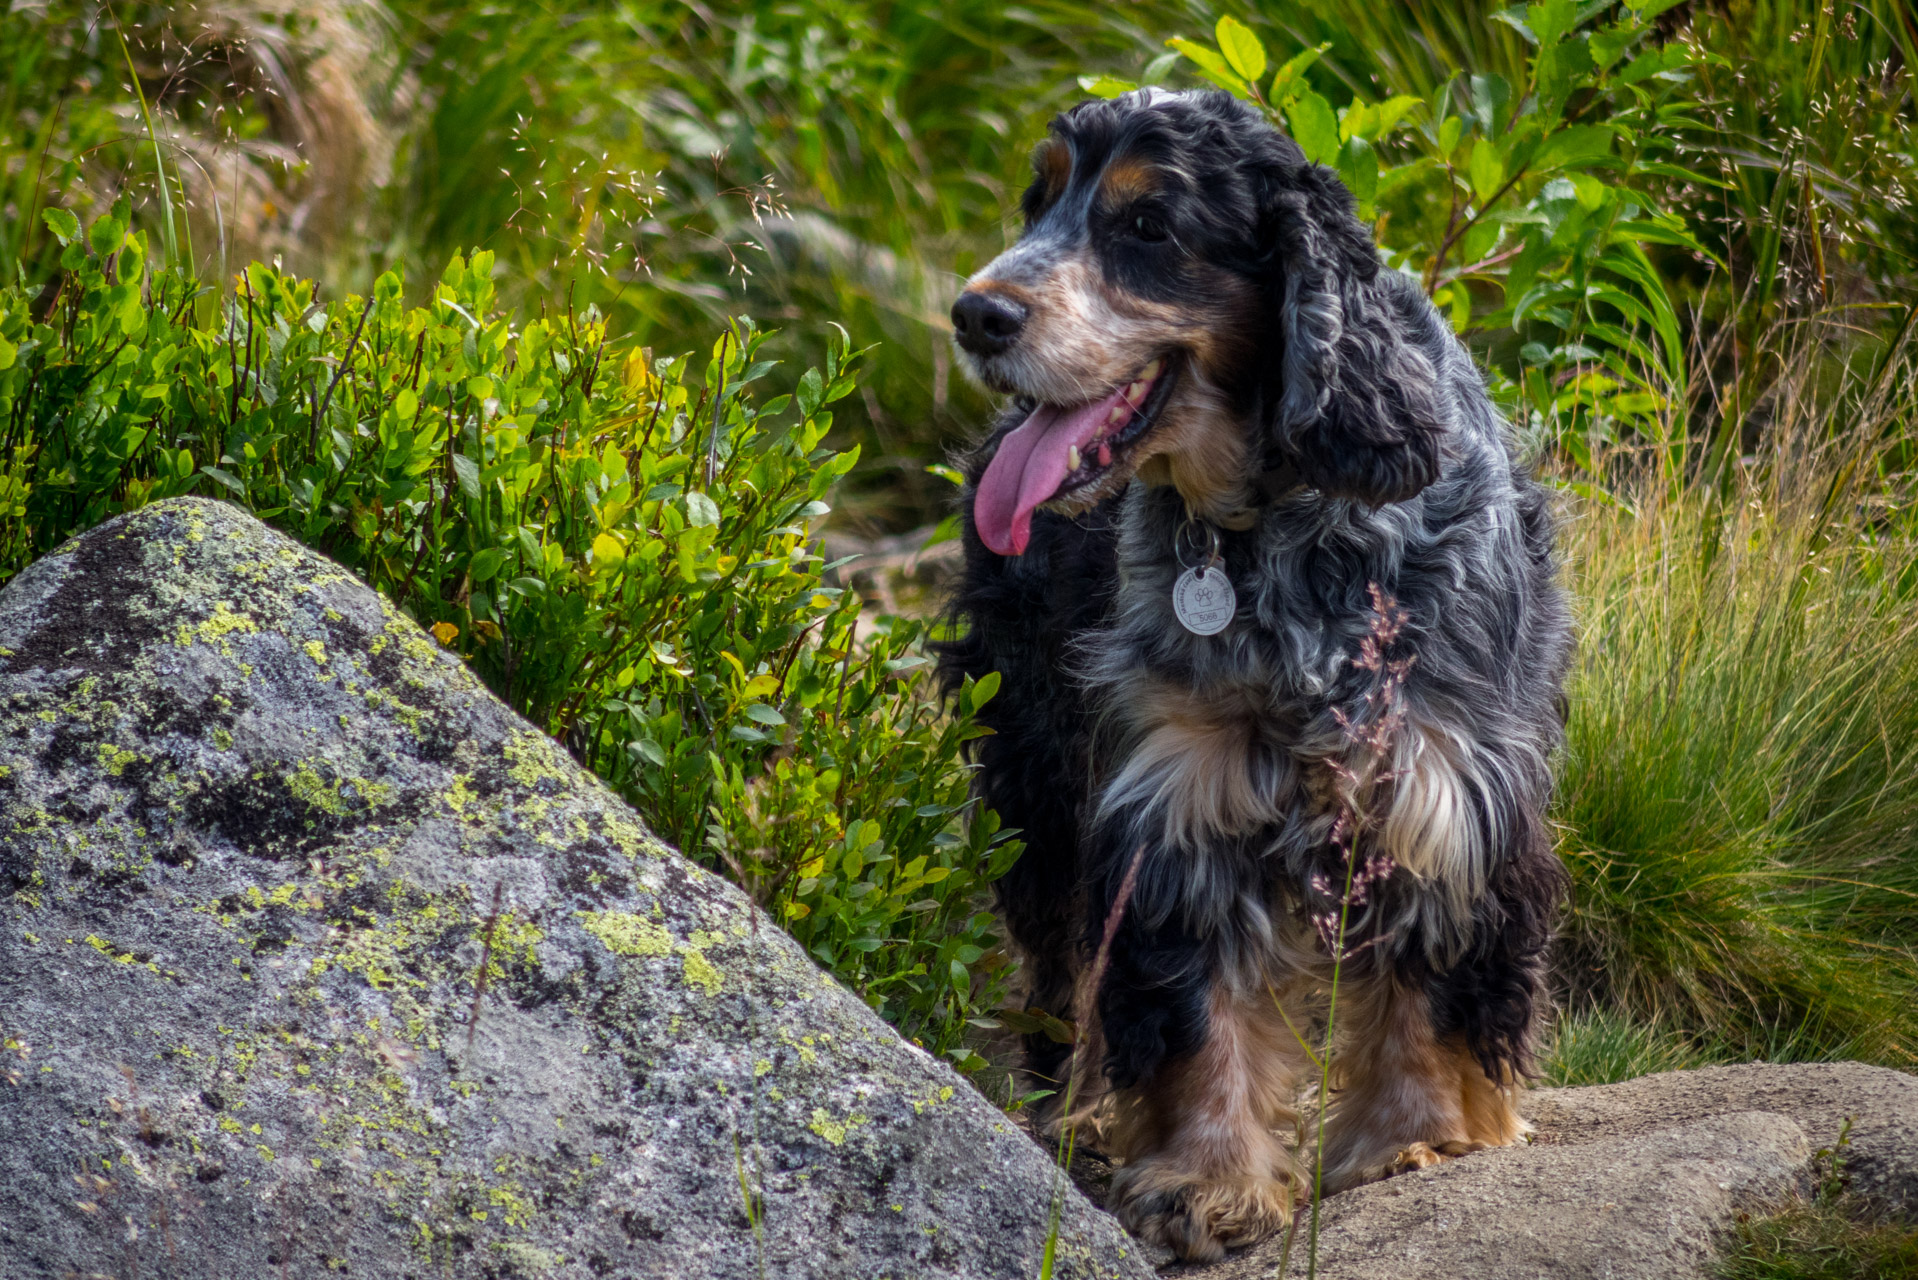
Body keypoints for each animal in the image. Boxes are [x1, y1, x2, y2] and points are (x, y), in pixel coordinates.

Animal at [928, 90, 1572, 1258]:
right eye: (1039, 203)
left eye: (1147, 227)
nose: (975, 315)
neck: (1279, 521)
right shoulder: (1178, 792)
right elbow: (1195, 1006)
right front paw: (1205, 1180)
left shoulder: (1442, 782)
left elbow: (1435, 982)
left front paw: (1424, 1137)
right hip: (1035, 764)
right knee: (1060, 967)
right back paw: (1076, 1108)